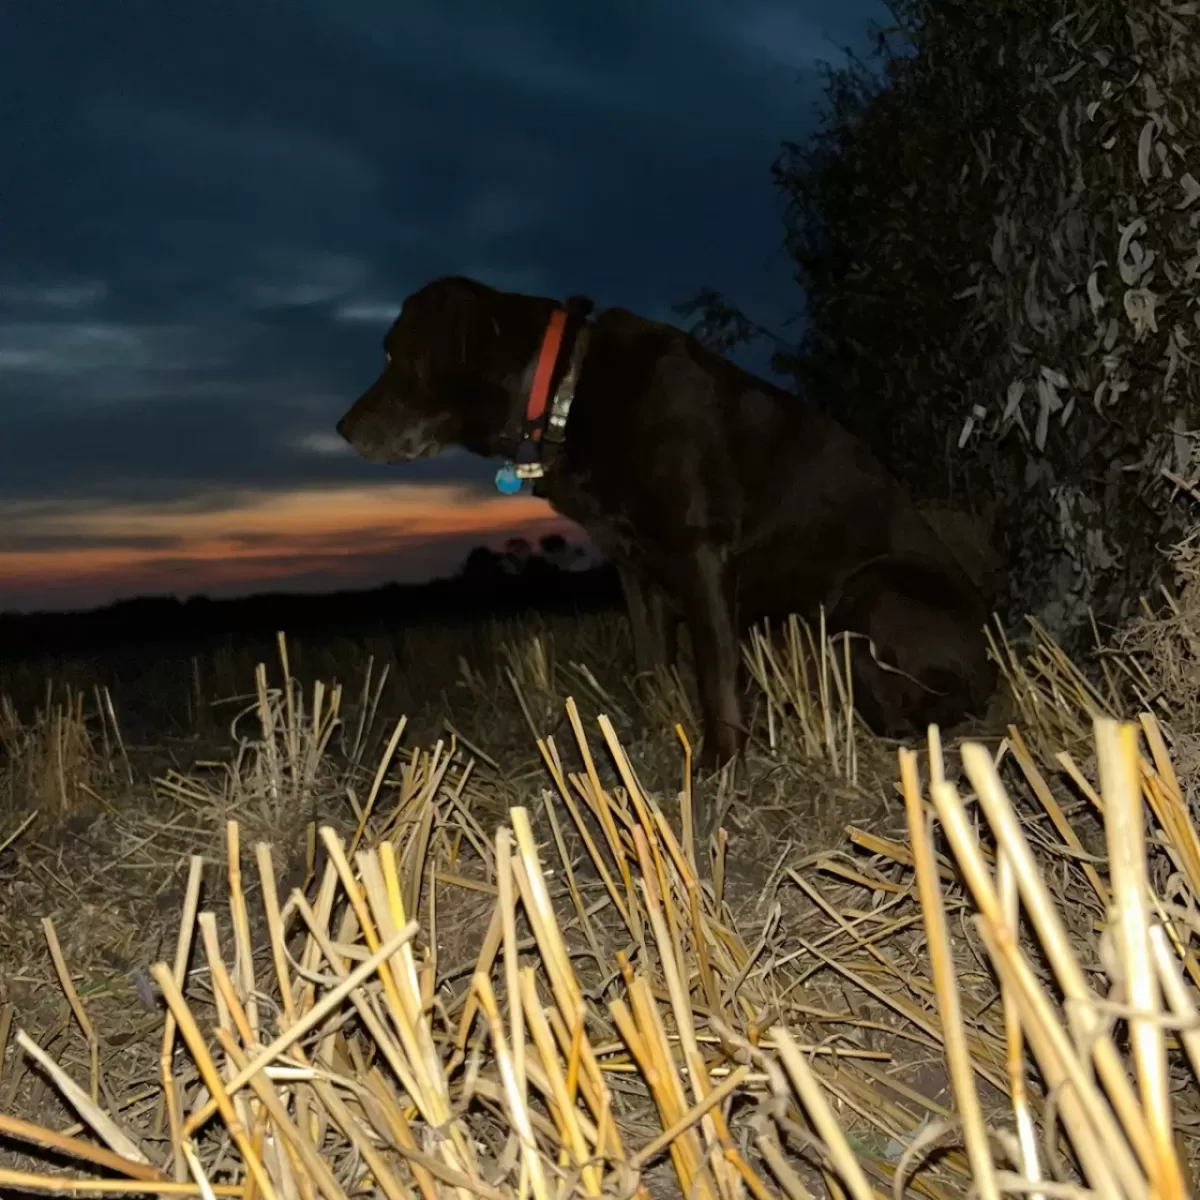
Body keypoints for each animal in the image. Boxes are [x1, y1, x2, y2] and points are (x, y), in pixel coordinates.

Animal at [338, 274, 993, 763]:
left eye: (395, 354)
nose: (343, 429)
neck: (566, 391)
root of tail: (986, 668)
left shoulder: (700, 553)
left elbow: (715, 676)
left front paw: (717, 765)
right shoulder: (636, 568)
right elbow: (650, 663)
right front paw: (648, 734)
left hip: (869, 590)